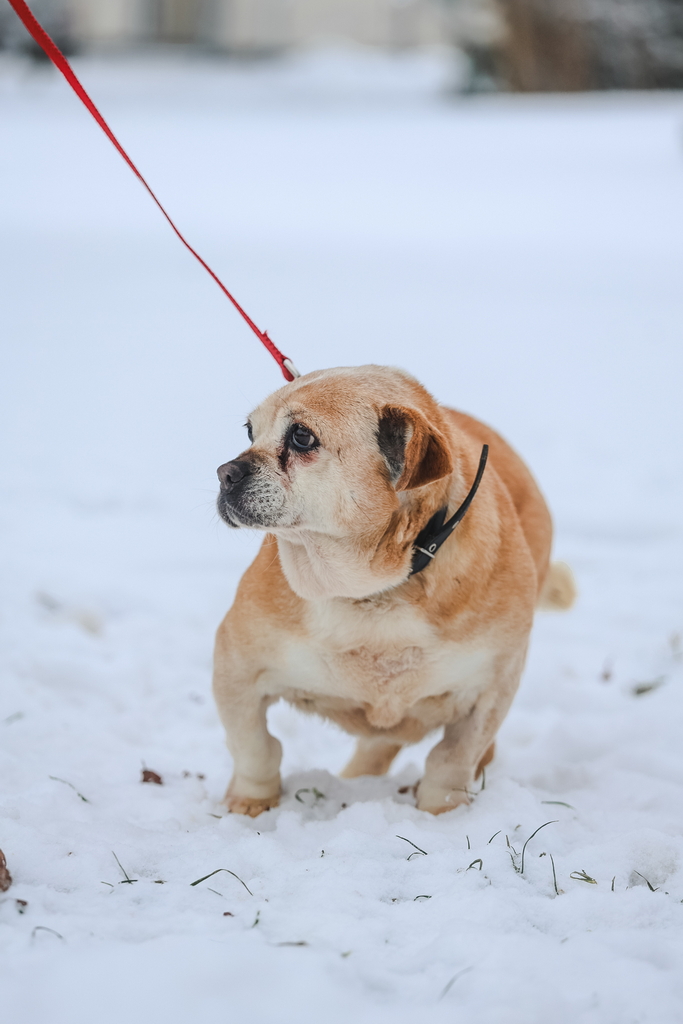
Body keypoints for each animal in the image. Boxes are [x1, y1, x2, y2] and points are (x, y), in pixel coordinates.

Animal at [213, 365, 574, 816]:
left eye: (301, 437)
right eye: (250, 432)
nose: (224, 473)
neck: (374, 590)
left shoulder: (493, 686)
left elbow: (451, 761)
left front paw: (440, 814)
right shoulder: (236, 665)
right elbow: (255, 747)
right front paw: (251, 804)